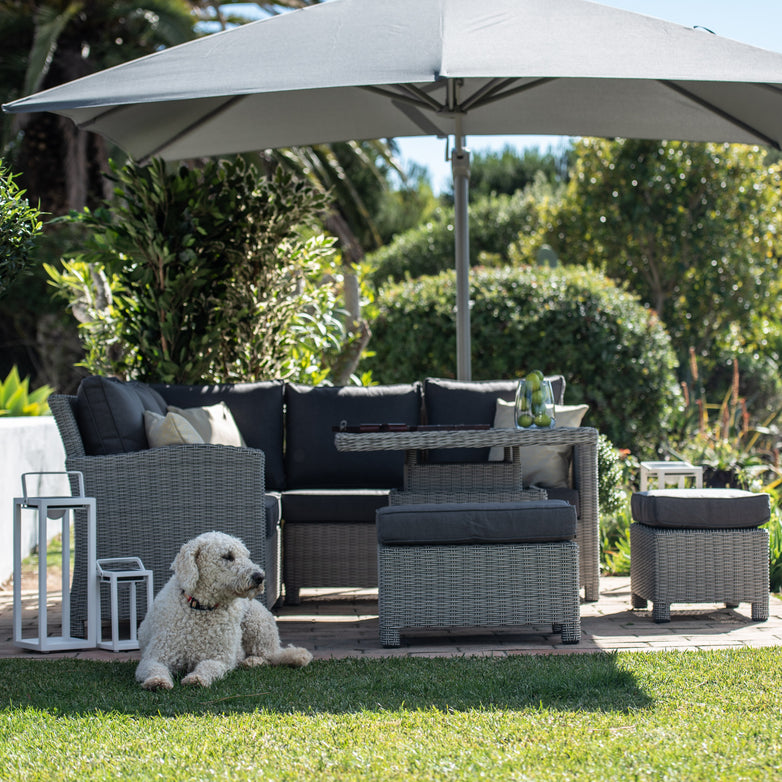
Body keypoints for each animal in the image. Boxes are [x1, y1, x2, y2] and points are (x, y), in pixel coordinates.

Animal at [138, 532, 312, 692]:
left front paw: (196, 678)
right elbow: (155, 668)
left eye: (247, 556)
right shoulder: (155, 657)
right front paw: (157, 681)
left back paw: (254, 661)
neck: (202, 608)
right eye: (228, 556)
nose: (260, 577)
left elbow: (207, 667)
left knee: (271, 656)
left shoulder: (220, 658)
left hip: (257, 624)